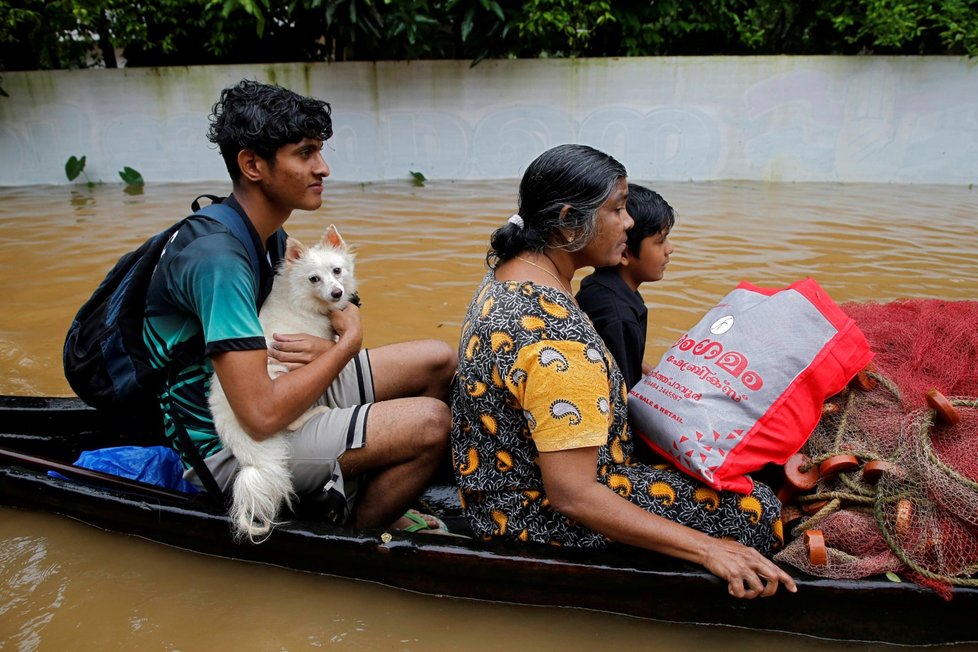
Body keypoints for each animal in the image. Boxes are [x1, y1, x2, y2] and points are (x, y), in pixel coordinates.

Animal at [210, 227, 358, 544]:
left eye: (337, 270)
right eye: (314, 279)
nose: (337, 293)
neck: (302, 298)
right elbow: (332, 346)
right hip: (280, 381)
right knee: (290, 421)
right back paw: (316, 411)